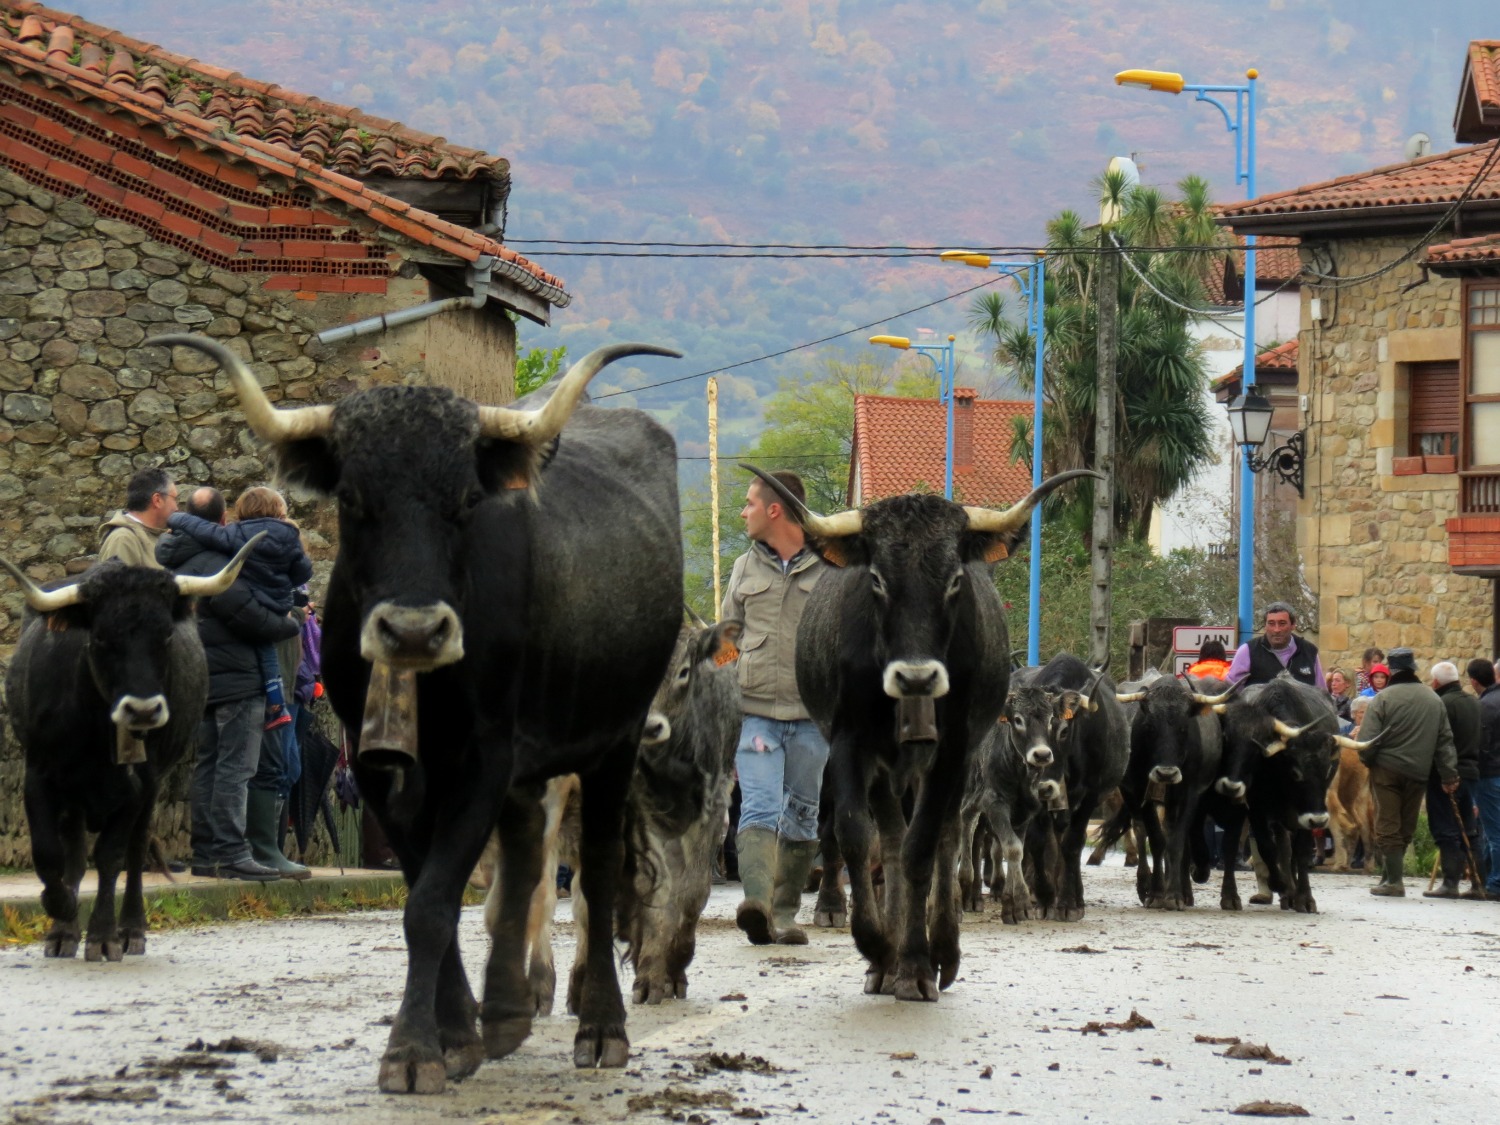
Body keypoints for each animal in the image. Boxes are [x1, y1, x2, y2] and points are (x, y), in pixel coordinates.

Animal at [3, 543, 255, 960]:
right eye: (102, 638)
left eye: (165, 636)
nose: (143, 710)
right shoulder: (39, 775)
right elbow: (48, 853)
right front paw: (61, 910)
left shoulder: (137, 787)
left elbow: (111, 856)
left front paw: (103, 935)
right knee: (74, 853)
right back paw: (64, 932)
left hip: (152, 788)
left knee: (135, 853)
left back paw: (131, 930)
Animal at [155, 333, 684, 1092]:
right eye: (352, 497)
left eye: (465, 500)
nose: (412, 631)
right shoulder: (379, 770)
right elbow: (423, 893)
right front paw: (453, 1033)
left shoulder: (485, 756)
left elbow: (433, 903)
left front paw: (414, 1049)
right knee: (526, 856)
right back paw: (506, 1008)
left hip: (615, 741)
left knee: (600, 875)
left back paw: (600, 1026)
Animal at [747, 468, 1092, 1002]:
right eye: (875, 578)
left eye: (954, 580)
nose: (916, 678)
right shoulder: (848, 744)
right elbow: (857, 837)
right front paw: (877, 948)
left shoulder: (952, 751)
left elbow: (923, 848)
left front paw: (916, 964)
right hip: (888, 770)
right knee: (888, 840)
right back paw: (884, 962)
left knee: (946, 839)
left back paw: (942, 949)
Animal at [1218, 678, 1374, 918]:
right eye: (1295, 772)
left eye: (1328, 771)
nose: (1319, 819)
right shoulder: (1258, 809)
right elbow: (1267, 846)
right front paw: (1279, 883)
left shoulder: (1306, 815)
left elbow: (1301, 852)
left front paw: (1305, 899)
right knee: (1283, 846)